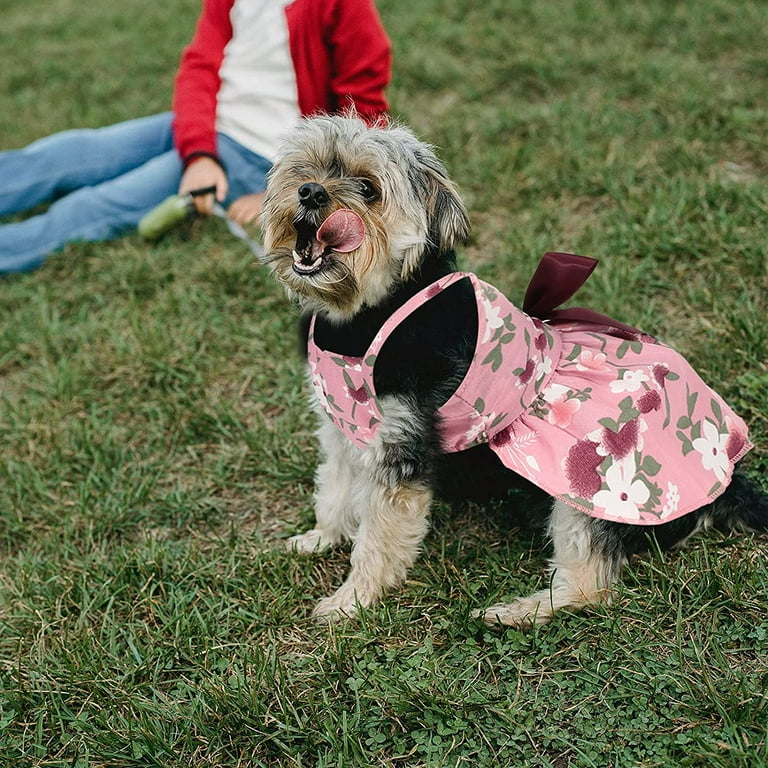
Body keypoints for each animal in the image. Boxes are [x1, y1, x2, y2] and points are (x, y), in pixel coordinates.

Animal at [260, 115, 764, 632]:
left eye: (367, 188)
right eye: (308, 168)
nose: (310, 192)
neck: (365, 315)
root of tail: (727, 482)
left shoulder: (400, 446)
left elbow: (378, 537)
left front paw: (352, 601)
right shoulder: (341, 427)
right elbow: (335, 489)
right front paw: (320, 538)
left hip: (588, 491)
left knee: (591, 586)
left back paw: (517, 611)